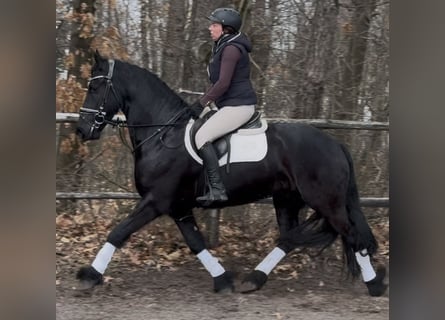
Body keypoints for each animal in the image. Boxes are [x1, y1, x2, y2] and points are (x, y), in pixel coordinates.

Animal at [73, 50, 386, 298]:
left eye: (96, 87)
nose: (82, 130)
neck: (162, 133)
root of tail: (335, 144)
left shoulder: (156, 201)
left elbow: (118, 232)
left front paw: (89, 276)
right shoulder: (178, 207)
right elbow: (196, 243)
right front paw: (223, 280)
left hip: (326, 201)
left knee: (352, 236)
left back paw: (374, 285)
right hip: (287, 199)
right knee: (288, 239)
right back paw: (253, 280)